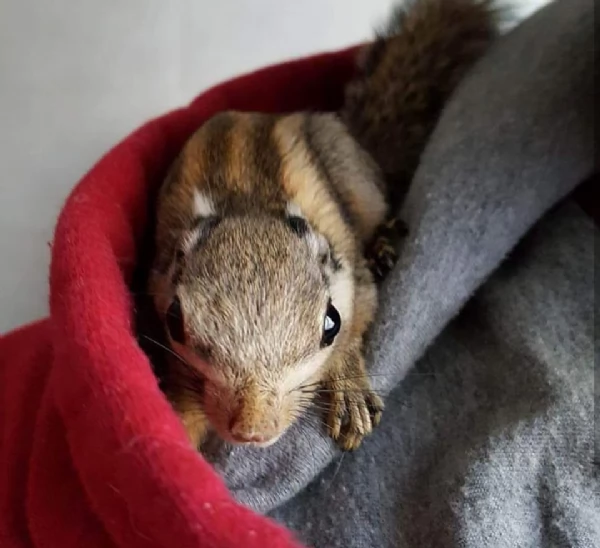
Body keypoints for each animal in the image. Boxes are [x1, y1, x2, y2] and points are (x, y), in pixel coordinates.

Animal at [148, 0, 500, 454]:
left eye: (330, 322)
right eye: (174, 319)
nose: (253, 430)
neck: (249, 209)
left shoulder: (351, 276)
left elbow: (358, 323)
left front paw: (348, 387)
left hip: (354, 180)